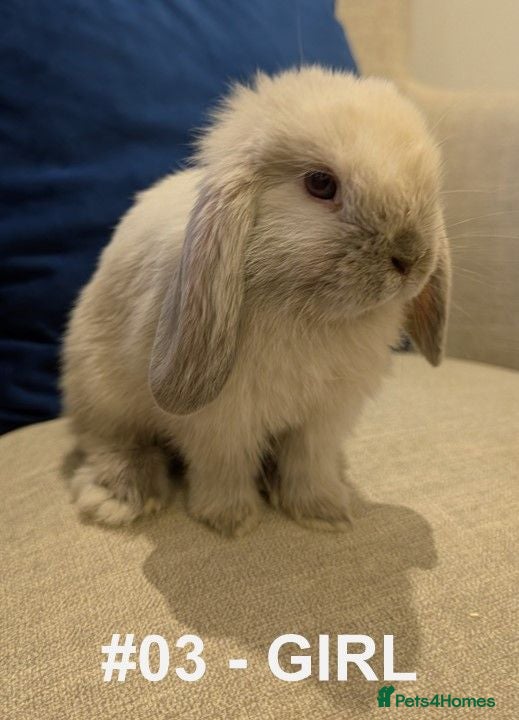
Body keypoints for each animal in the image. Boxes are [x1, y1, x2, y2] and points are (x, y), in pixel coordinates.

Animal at [62, 66, 451, 536]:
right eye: (321, 183)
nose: (411, 257)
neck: (310, 314)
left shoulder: (321, 420)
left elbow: (308, 464)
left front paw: (323, 513)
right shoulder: (221, 422)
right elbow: (223, 468)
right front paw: (230, 520)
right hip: (102, 393)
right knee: (107, 440)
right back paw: (121, 496)